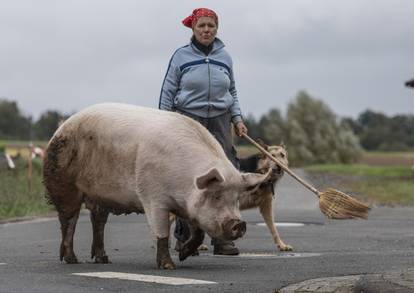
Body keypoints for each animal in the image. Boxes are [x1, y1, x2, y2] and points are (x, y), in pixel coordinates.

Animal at [42, 102, 268, 270]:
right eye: (216, 196)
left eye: (237, 198)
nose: (239, 224)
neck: (184, 182)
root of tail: (61, 127)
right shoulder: (152, 198)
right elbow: (162, 232)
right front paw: (169, 267)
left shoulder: (188, 206)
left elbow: (198, 233)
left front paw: (184, 256)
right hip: (63, 183)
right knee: (69, 220)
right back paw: (72, 260)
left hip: (100, 195)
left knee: (98, 221)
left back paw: (103, 259)